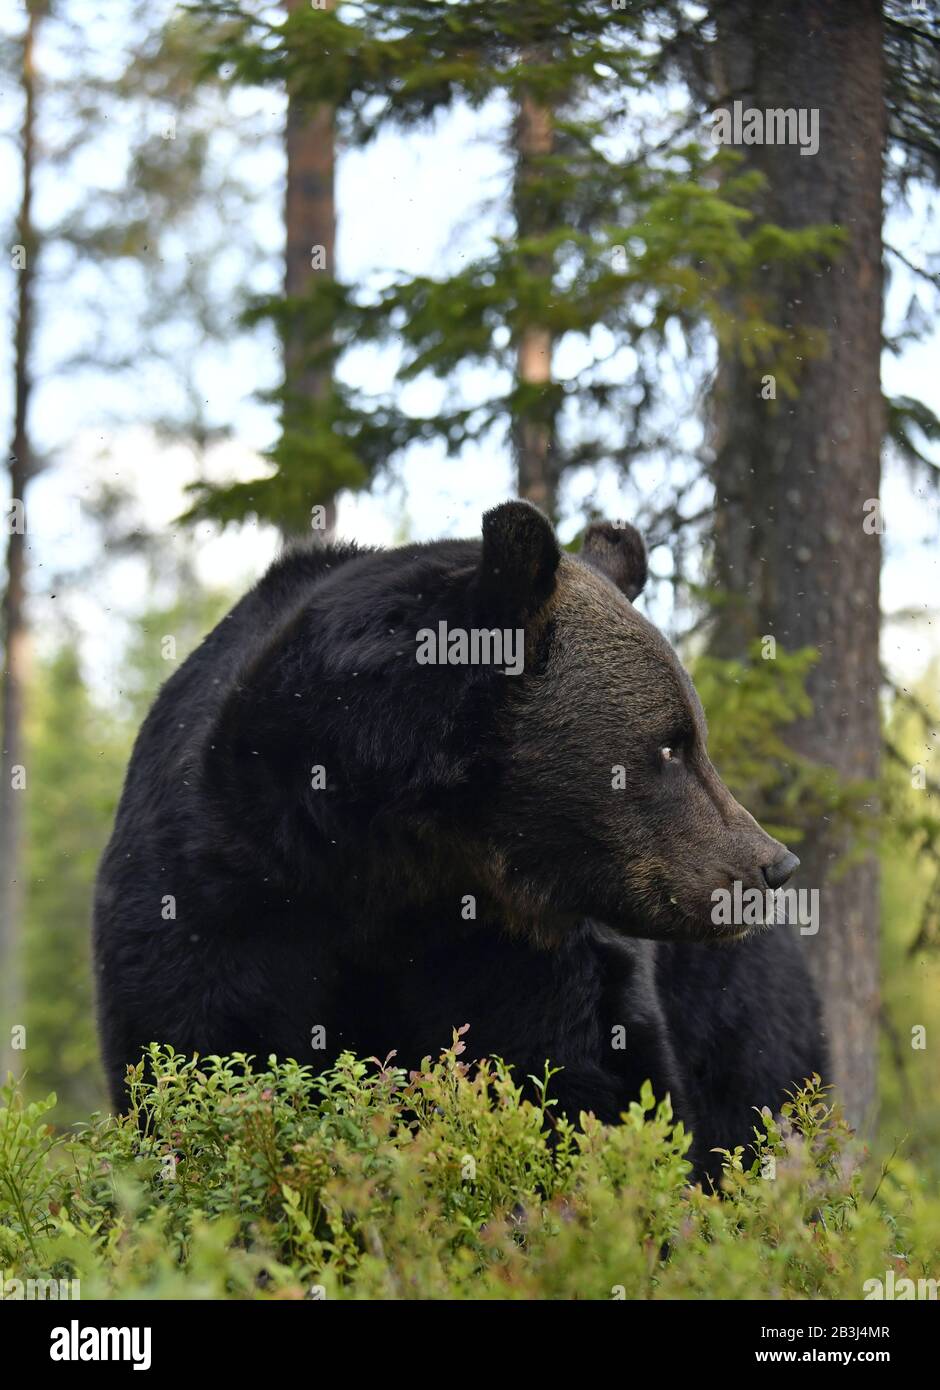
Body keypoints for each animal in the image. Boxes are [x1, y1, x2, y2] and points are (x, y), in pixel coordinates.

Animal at [93, 500, 826, 1179]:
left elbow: (574, 1078)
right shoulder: (224, 886)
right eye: (671, 745)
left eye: (693, 736)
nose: (772, 866)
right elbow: (199, 1048)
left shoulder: (515, 954)